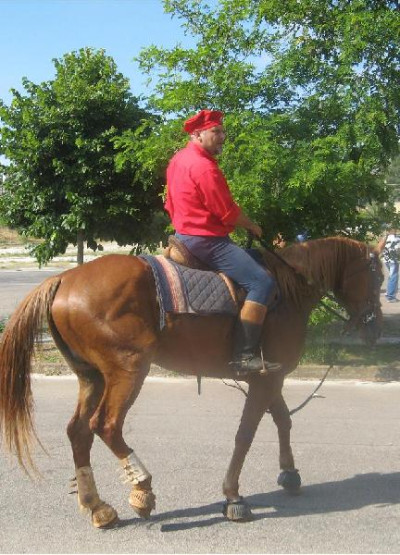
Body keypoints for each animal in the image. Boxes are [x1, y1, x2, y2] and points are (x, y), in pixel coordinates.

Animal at [0, 237, 382, 528]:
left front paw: (289, 473)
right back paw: (142, 488)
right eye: (377, 275)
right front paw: (233, 496)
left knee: (79, 431)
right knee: (106, 425)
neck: (287, 292)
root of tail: (64, 279)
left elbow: (283, 421)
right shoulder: (265, 381)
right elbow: (245, 435)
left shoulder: (268, 377)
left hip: (91, 376)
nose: (373, 323)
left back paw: (98, 506)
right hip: (128, 370)